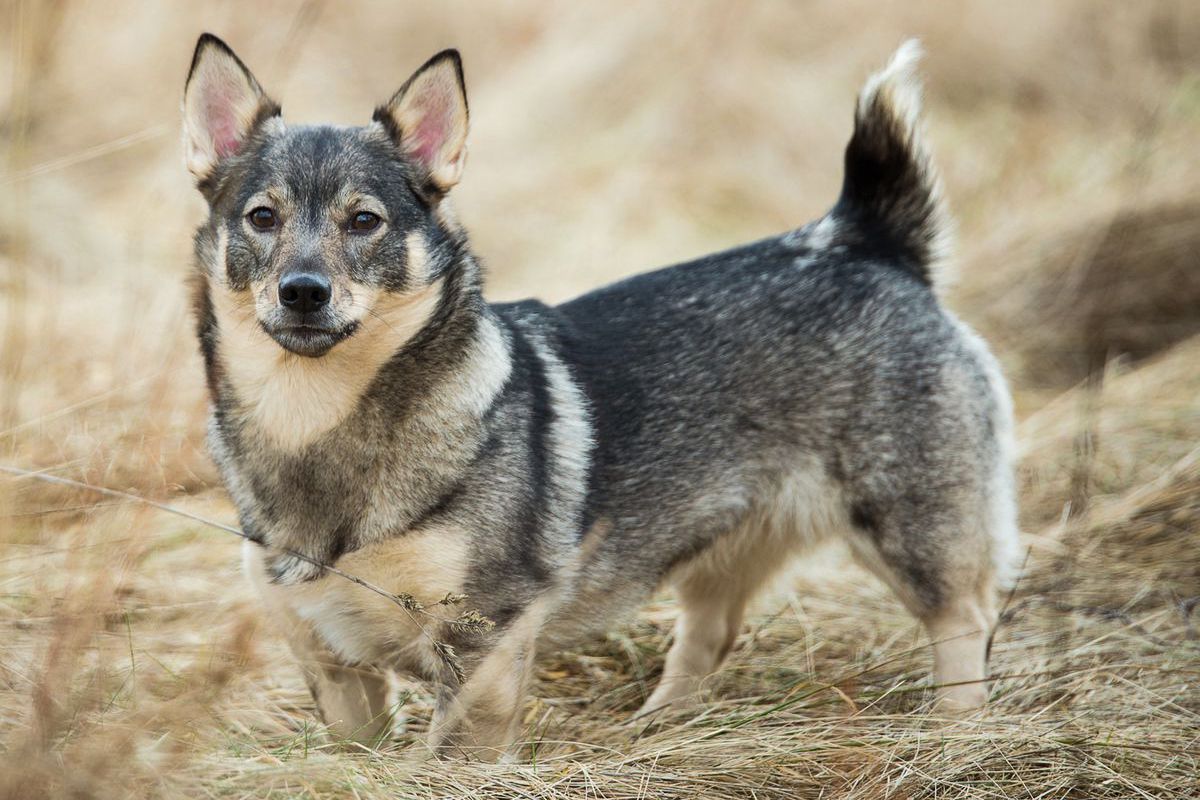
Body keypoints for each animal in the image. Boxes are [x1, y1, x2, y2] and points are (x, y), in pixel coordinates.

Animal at [182, 29, 1017, 758]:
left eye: (364, 221)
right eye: (262, 218)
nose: (302, 292)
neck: (316, 420)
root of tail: (864, 242)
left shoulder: (483, 638)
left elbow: (455, 752)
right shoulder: (334, 666)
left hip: (912, 529)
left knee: (966, 620)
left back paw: (958, 734)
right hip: (724, 547)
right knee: (709, 636)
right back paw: (660, 729)